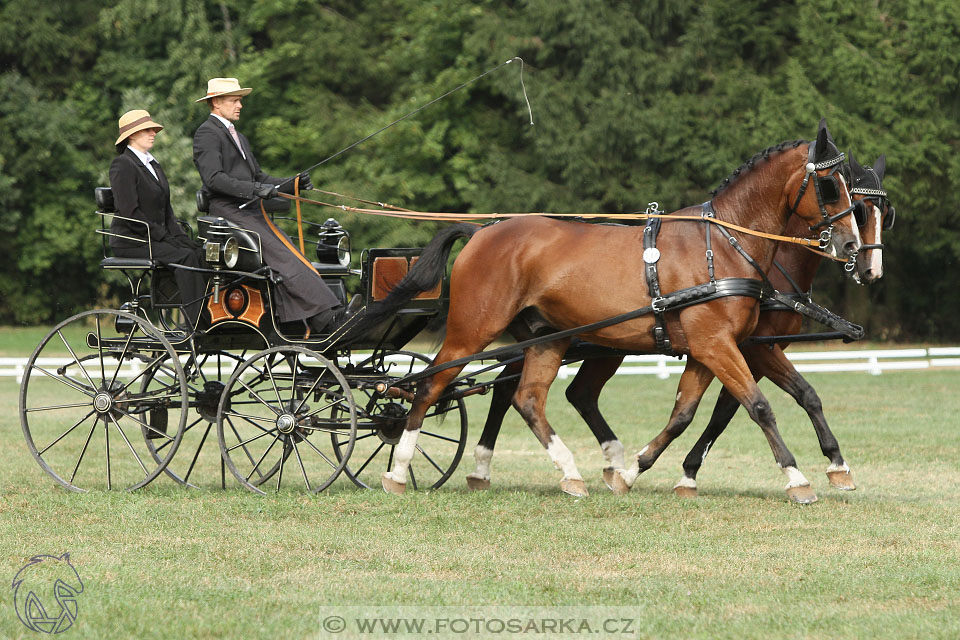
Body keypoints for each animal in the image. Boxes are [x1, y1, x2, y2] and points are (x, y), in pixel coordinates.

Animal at [360, 119, 864, 500]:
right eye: (829, 186)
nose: (852, 246)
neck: (723, 244)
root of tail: (484, 230)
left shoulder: (712, 348)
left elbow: (686, 413)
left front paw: (631, 472)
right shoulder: (719, 345)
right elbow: (758, 406)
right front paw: (797, 478)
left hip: (547, 338)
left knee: (527, 398)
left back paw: (571, 473)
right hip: (474, 329)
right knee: (431, 386)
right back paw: (398, 472)